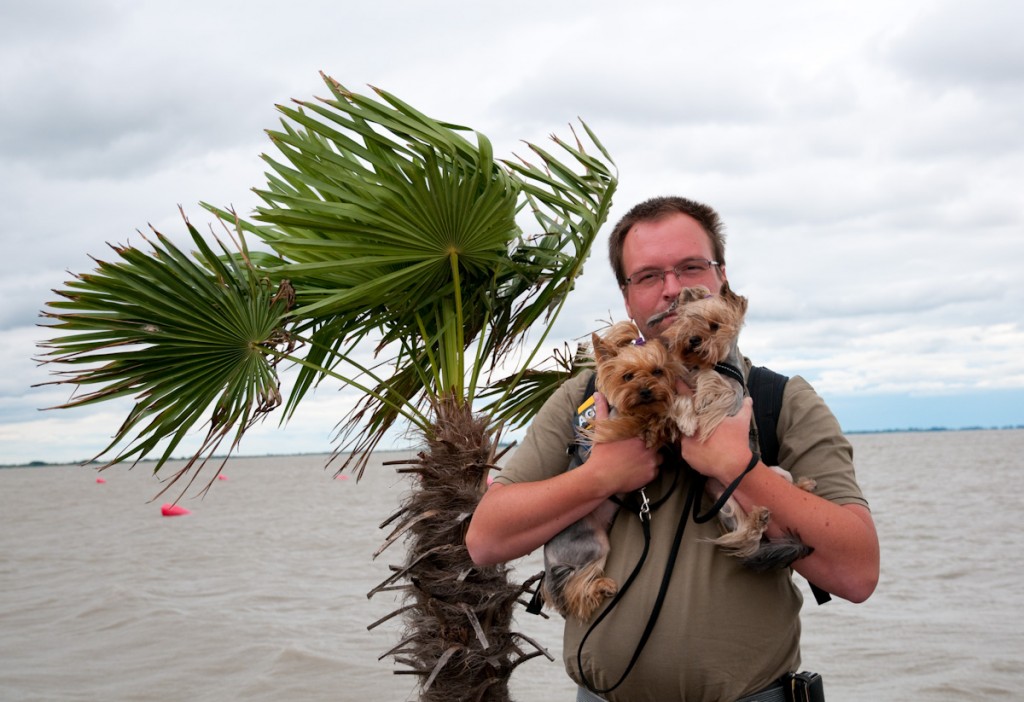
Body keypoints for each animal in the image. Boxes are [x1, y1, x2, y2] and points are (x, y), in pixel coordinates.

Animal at [540, 325, 684, 622]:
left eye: (657, 371)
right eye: (627, 376)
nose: (645, 391)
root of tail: (549, 562)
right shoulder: (613, 427)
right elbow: (638, 421)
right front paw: (659, 424)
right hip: (593, 543)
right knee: (576, 585)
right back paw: (600, 588)